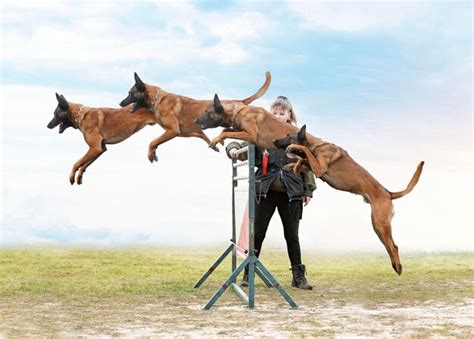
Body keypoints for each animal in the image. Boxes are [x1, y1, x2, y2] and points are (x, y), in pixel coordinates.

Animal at [118, 71, 270, 163]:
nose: (120, 103)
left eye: (130, 93)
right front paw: (215, 145)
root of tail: (239, 101)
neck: (157, 99)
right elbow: (202, 135)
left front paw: (150, 154)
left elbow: (153, 142)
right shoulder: (185, 132)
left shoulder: (173, 131)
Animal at [272, 126, 424, 274]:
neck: (316, 145)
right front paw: (292, 166)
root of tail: (388, 193)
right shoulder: (314, 166)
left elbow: (303, 152)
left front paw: (293, 149)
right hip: (377, 226)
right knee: (390, 245)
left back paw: (398, 267)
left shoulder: (319, 168)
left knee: (394, 246)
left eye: (287, 136)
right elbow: (303, 160)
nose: (273, 141)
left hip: (380, 223)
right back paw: (395, 266)